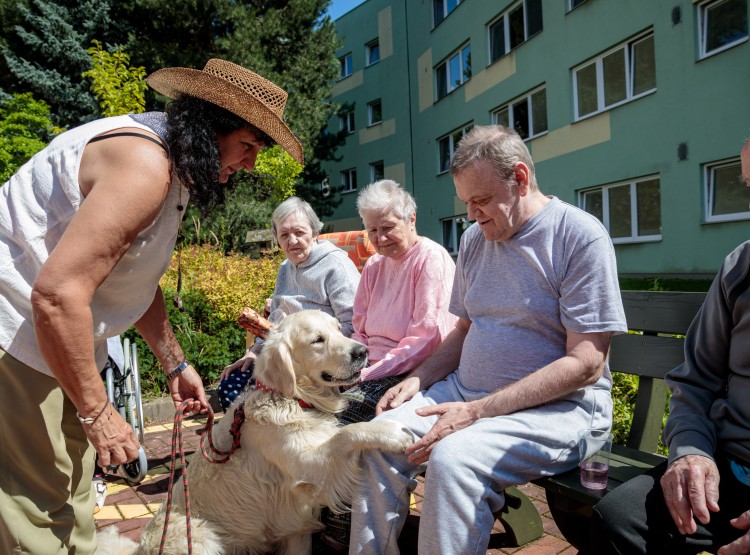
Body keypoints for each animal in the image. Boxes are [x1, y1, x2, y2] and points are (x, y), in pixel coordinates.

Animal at [97, 310, 414, 552]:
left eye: (339, 329)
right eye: (317, 340)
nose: (362, 351)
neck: (292, 399)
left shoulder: (296, 523)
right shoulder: (307, 467)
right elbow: (347, 433)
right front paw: (390, 432)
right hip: (201, 536)